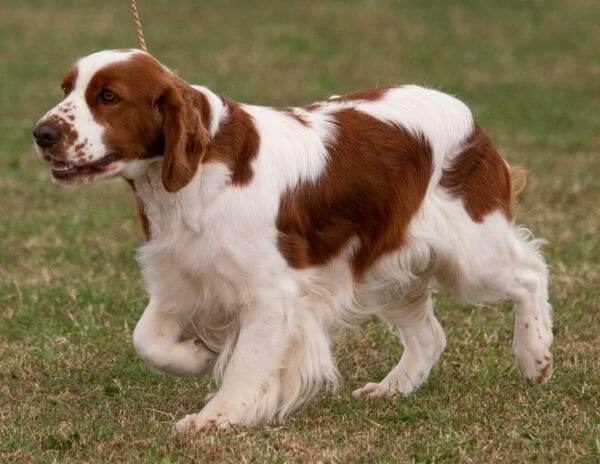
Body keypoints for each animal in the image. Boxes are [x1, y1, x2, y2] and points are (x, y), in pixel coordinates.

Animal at [32, 49, 552, 432]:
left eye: (108, 96)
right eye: (66, 89)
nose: (42, 133)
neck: (191, 179)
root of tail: (465, 114)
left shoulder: (270, 296)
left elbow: (245, 365)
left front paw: (214, 418)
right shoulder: (184, 276)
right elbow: (148, 340)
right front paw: (200, 356)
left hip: (471, 253)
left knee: (530, 272)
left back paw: (535, 356)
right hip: (388, 268)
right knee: (430, 335)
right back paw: (393, 388)